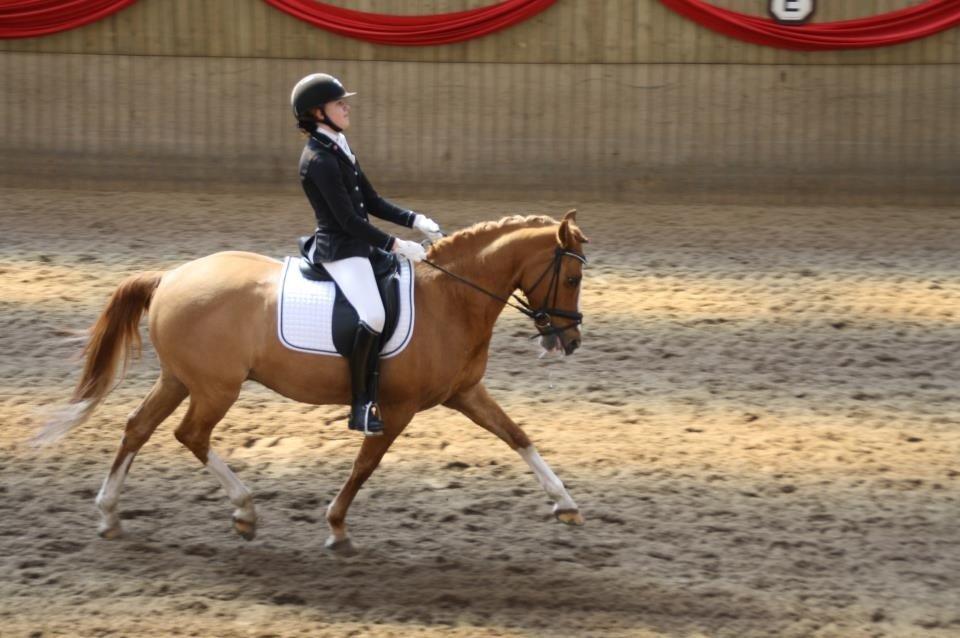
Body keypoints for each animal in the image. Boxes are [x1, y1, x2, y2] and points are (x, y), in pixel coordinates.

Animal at [37, 210, 590, 555]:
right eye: (571, 278)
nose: (569, 341)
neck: (451, 300)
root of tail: (168, 277)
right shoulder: (398, 409)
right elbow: (365, 466)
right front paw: (336, 528)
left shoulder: (464, 393)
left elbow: (518, 435)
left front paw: (566, 504)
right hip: (216, 388)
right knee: (189, 434)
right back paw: (244, 511)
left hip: (180, 379)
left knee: (137, 428)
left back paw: (109, 515)